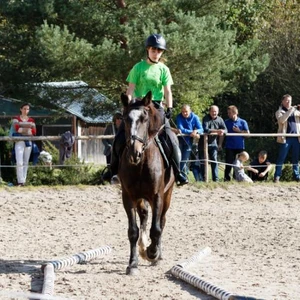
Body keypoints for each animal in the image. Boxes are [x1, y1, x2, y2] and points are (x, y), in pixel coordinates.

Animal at [119, 92, 176, 276]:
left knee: (161, 221)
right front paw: (133, 263)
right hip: (140, 198)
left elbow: (156, 228)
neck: (141, 163)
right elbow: (133, 231)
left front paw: (153, 253)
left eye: (144, 118)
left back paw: (156, 254)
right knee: (144, 216)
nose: (134, 152)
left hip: (167, 195)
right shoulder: (128, 197)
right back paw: (143, 247)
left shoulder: (157, 196)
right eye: (125, 118)